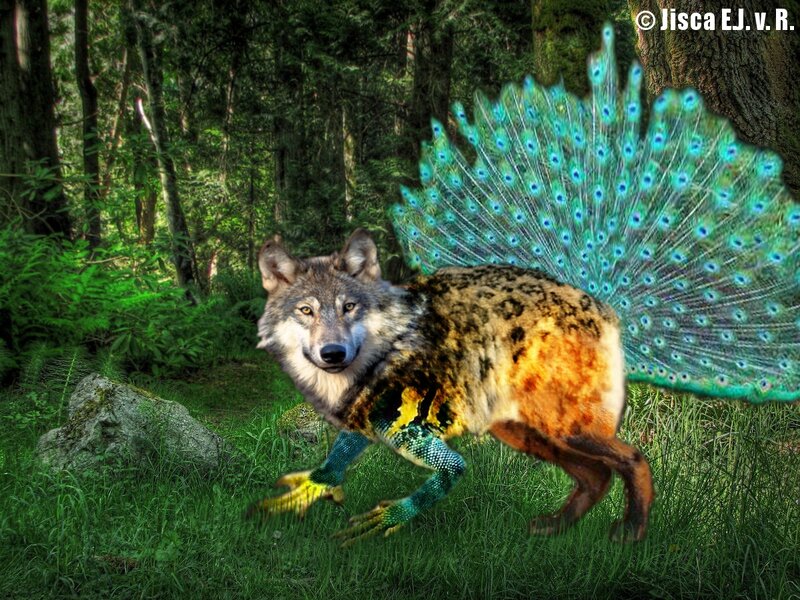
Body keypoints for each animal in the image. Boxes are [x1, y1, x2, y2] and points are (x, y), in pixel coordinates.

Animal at [248, 229, 653, 544]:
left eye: (349, 307)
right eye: (306, 310)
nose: (333, 353)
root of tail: (603, 306)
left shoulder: (417, 437)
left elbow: (444, 476)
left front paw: (386, 519)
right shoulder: (363, 422)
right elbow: (333, 464)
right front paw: (303, 493)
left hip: (563, 429)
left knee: (634, 459)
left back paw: (631, 531)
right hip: (525, 433)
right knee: (596, 475)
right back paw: (554, 527)